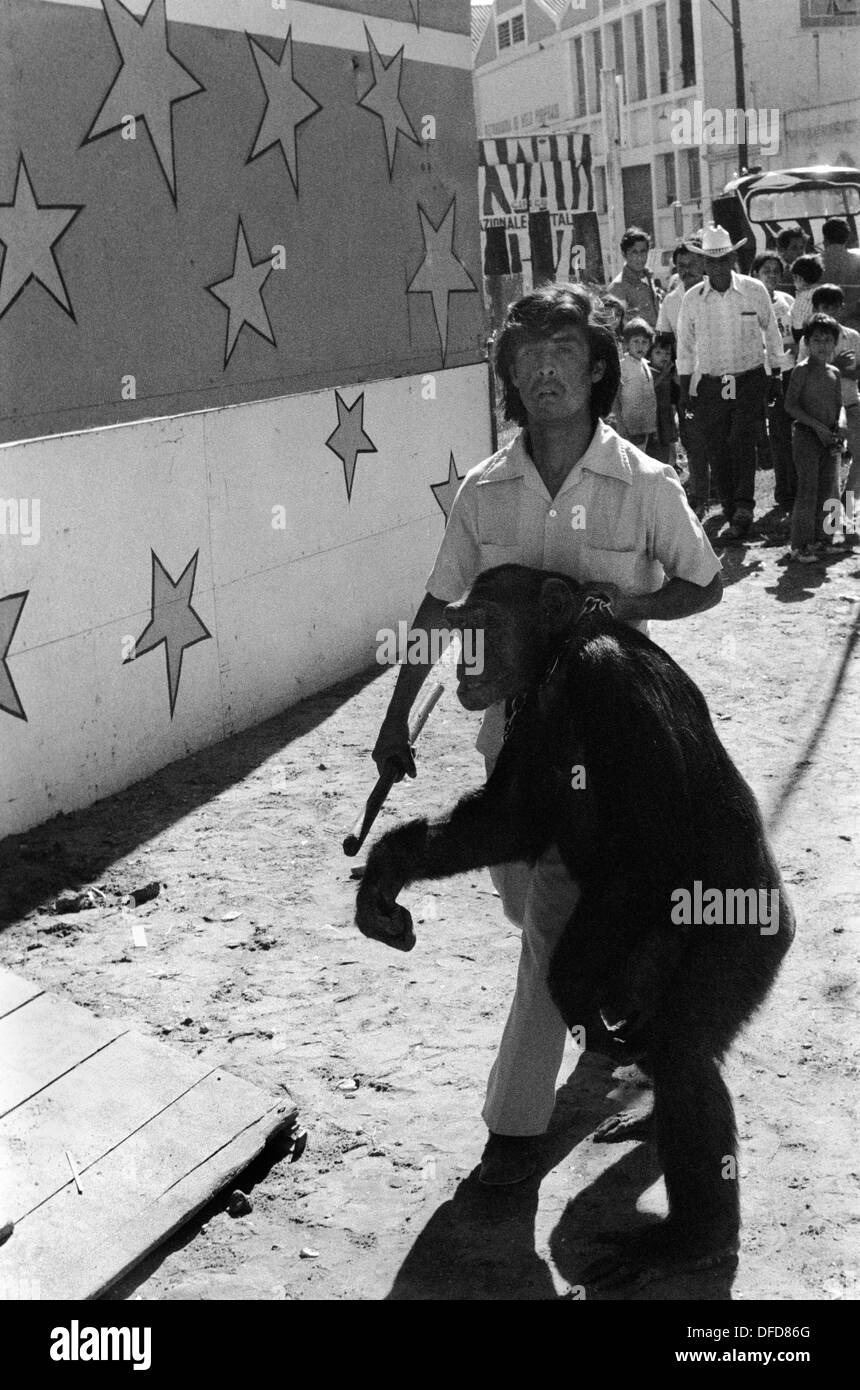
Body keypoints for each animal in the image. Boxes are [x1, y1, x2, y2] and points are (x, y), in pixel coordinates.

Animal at [355, 561, 794, 1273]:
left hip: (750, 939)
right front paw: (387, 870)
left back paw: (691, 1239)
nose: (465, 660)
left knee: (680, 1051)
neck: (561, 650)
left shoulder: (608, 683)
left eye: (485, 624)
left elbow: (651, 846)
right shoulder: (534, 712)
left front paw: (568, 991)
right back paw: (649, 1122)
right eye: (462, 625)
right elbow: (511, 818)